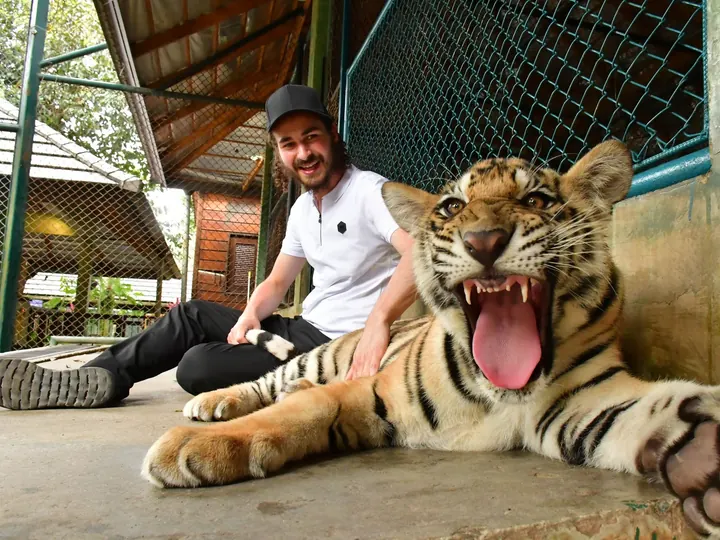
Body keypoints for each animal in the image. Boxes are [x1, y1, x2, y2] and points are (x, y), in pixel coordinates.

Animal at [142, 140, 720, 537]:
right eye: (451, 208)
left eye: (537, 198)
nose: (484, 240)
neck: (502, 393)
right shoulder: (371, 388)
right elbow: (301, 410)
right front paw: (195, 447)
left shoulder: (578, 402)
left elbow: (644, 411)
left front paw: (701, 452)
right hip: (320, 358)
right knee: (270, 381)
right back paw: (213, 404)